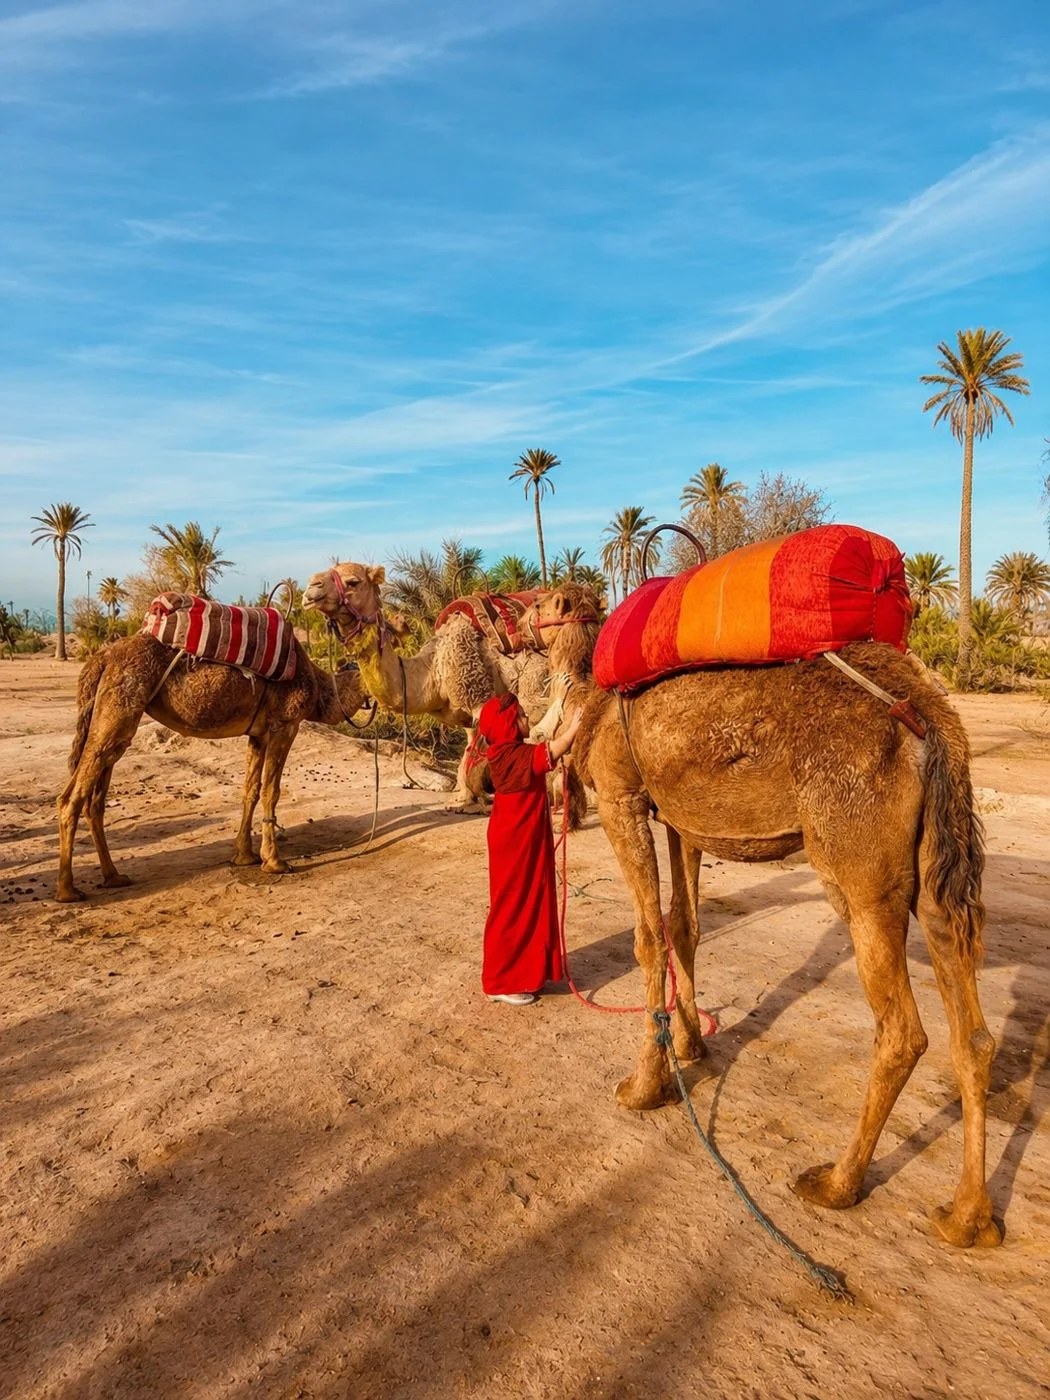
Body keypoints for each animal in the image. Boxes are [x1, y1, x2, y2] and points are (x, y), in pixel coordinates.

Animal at [56, 633, 366, 902]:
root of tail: (101, 658)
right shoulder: (285, 724)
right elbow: (271, 791)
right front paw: (275, 862)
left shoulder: (258, 734)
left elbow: (250, 790)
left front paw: (244, 856)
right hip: (119, 708)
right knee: (71, 797)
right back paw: (67, 891)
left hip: (110, 720)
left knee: (95, 798)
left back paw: (114, 877)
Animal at [301, 564, 600, 816]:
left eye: (353, 581)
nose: (310, 588)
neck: (433, 667)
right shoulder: (465, 714)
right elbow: (468, 751)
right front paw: (464, 799)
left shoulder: (475, 689)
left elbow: (478, 754)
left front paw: (476, 801)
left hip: (536, 681)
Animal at [559, 636, 998, 1250]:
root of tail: (931, 718)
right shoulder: (680, 817)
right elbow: (684, 925)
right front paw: (692, 1047)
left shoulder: (621, 797)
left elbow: (648, 938)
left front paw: (644, 1087)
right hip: (937, 861)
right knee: (972, 1031)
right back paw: (967, 1218)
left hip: (857, 861)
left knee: (902, 1029)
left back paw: (836, 1183)